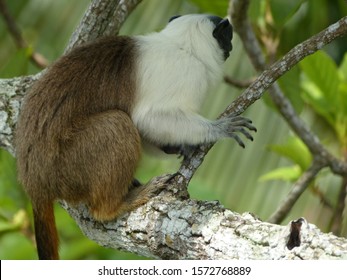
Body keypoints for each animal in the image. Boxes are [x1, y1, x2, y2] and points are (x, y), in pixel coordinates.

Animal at [14, 14, 256, 260]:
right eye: (228, 37)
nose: (231, 47)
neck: (184, 46)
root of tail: (34, 181)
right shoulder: (189, 73)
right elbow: (147, 118)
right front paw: (218, 129)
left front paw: (181, 147)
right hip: (66, 165)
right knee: (117, 124)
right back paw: (113, 206)